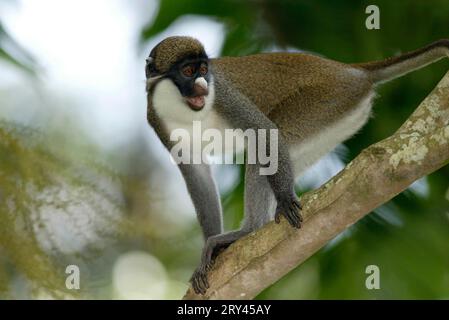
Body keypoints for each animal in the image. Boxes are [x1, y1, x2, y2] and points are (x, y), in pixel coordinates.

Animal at [144, 36, 448, 294]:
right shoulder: (157, 120)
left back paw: (250, 229)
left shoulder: (225, 95)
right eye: (187, 71)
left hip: (328, 100)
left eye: (204, 69)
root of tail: (352, 71)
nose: (203, 85)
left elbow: (264, 131)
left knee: (268, 144)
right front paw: (207, 256)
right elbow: (197, 176)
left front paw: (284, 200)